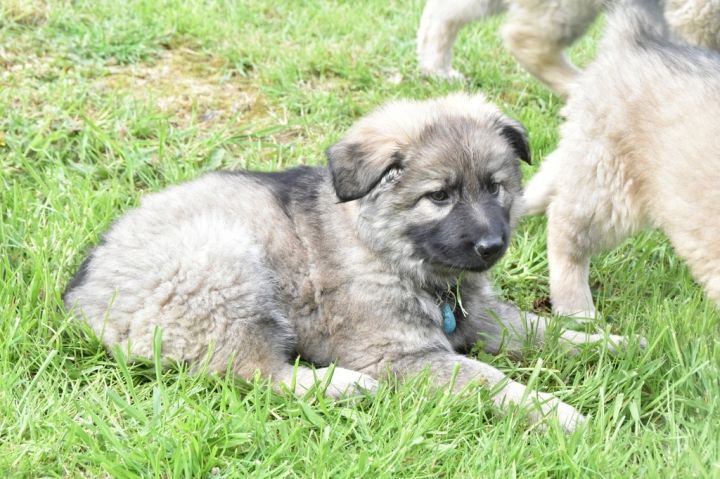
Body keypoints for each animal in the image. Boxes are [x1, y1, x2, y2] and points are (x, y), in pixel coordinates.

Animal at [64, 93, 640, 432]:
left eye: (496, 187)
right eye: (439, 196)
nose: (492, 246)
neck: (390, 254)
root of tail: (82, 298)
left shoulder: (482, 316)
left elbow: (544, 330)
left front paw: (614, 344)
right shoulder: (402, 354)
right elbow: (489, 379)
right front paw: (559, 413)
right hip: (224, 265)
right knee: (251, 372)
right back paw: (342, 385)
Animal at [523, 0, 720, 318]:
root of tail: (639, 38)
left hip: (592, 149)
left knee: (553, 172)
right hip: (611, 187)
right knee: (565, 229)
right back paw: (577, 309)